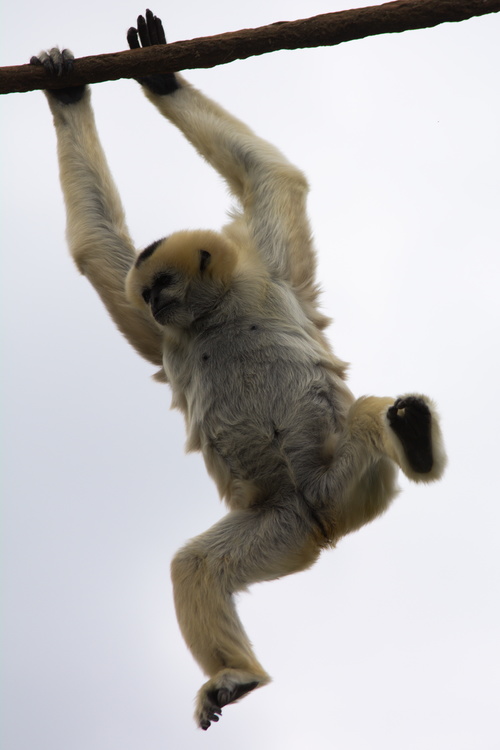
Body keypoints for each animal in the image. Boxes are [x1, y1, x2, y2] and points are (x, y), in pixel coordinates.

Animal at [31, 10, 446, 730]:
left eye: (163, 283)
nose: (153, 300)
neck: (213, 314)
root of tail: (324, 523)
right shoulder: (165, 333)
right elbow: (97, 244)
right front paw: (74, 87)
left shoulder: (271, 276)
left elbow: (271, 176)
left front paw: (158, 76)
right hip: (282, 525)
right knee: (195, 567)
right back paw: (235, 676)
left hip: (351, 483)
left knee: (370, 414)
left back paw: (414, 440)